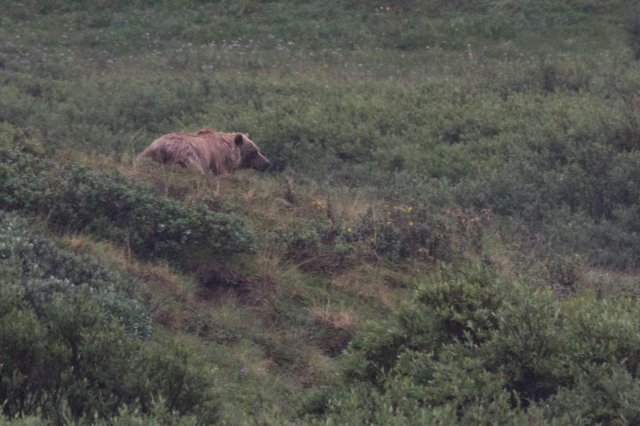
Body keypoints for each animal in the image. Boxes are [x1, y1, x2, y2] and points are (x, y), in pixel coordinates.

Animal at [138, 130, 270, 176]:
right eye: (254, 152)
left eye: (258, 150)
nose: (267, 163)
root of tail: (161, 146)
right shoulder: (219, 159)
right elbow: (221, 172)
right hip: (187, 154)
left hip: (146, 153)